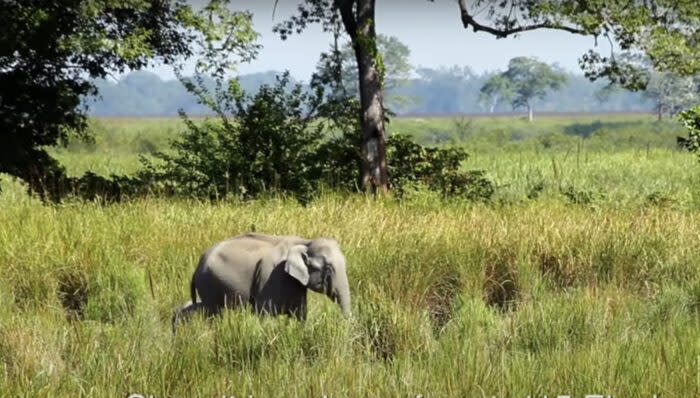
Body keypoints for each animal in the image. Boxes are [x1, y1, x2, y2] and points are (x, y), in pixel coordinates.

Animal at [172, 232, 350, 332]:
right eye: (328, 269)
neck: (305, 241)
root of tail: (196, 269)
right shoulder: (271, 277)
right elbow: (265, 314)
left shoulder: (296, 284)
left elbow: (300, 315)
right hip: (209, 284)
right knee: (214, 314)